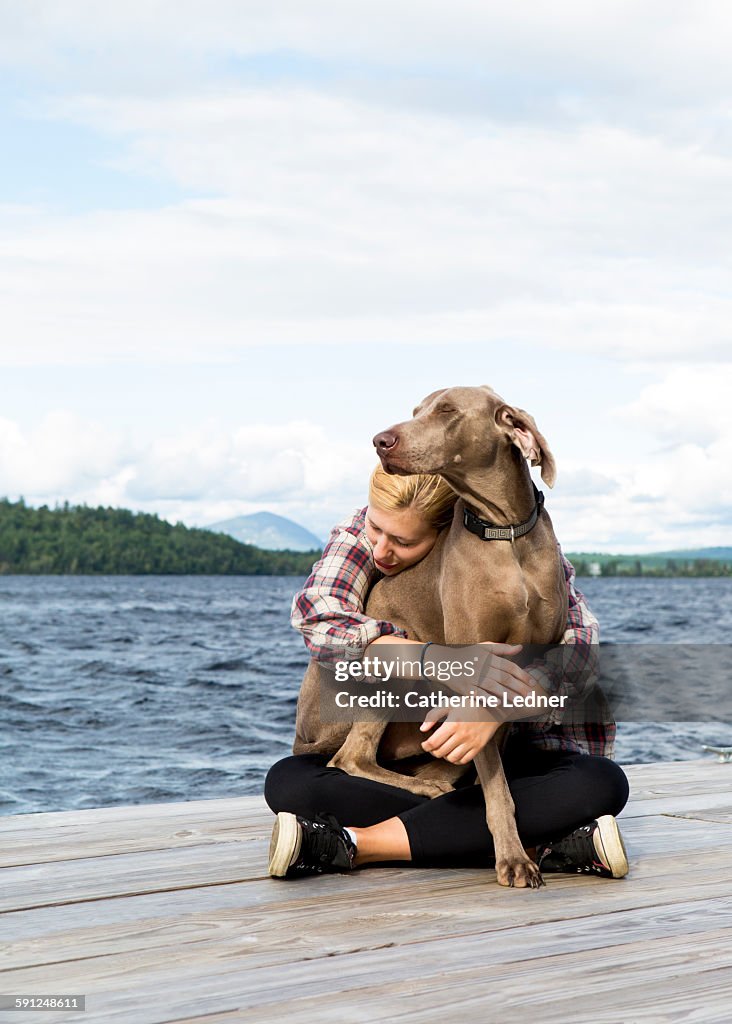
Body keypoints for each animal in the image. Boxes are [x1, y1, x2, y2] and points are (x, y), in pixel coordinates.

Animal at [294, 385, 569, 888]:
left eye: (446, 411)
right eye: (415, 410)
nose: (379, 440)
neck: (504, 532)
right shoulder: (476, 667)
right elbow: (497, 787)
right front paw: (513, 857)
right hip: (382, 678)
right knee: (350, 758)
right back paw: (425, 785)